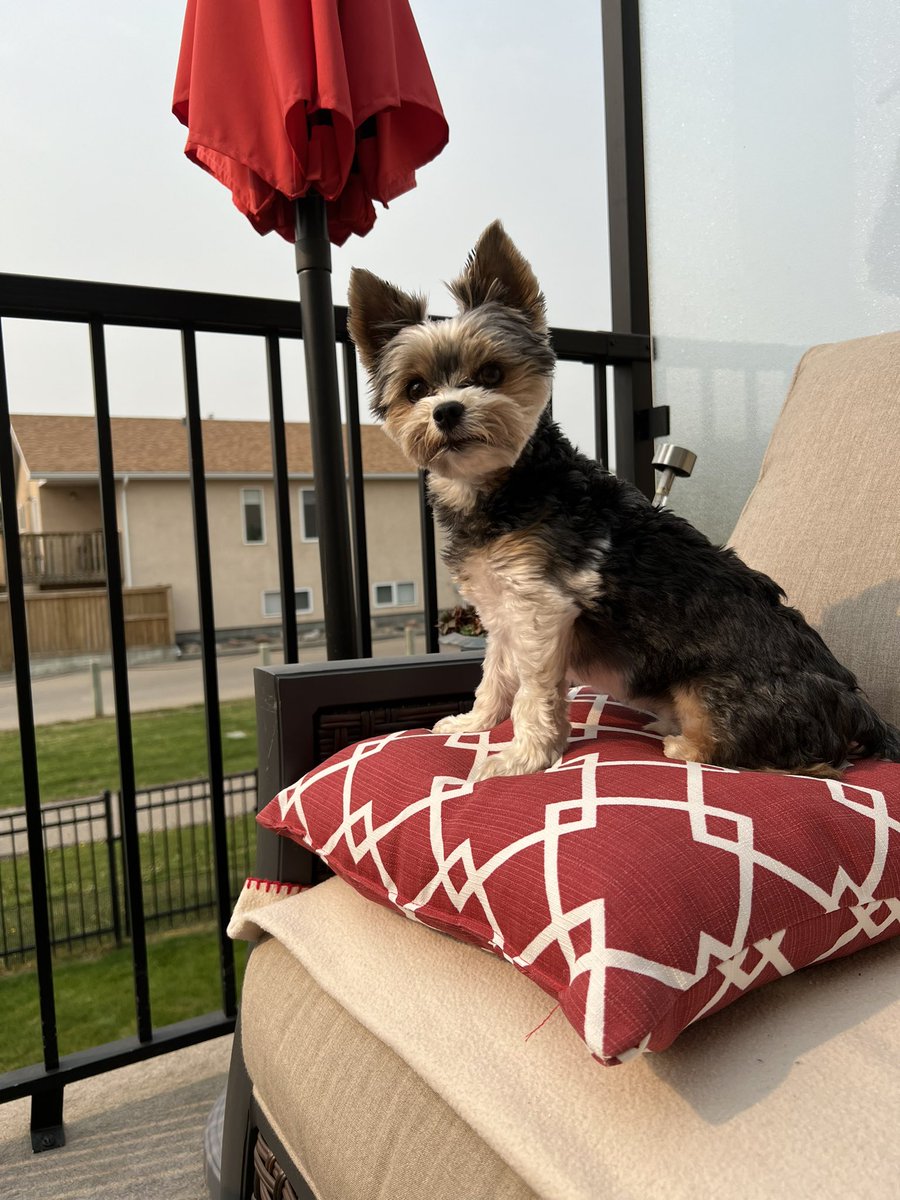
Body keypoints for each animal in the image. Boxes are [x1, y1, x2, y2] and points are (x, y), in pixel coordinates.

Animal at [345, 220, 900, 782]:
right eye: (416, 388)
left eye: (492, 375)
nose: (447, 411)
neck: (507, 485)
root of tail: (858, 707)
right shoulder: (503, 609)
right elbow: (496, 676)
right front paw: (474, 724)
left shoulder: (541, 607)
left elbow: (532, 692)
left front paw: (523, 756)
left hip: (715, 693)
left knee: (785, 757)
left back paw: (683, 744)